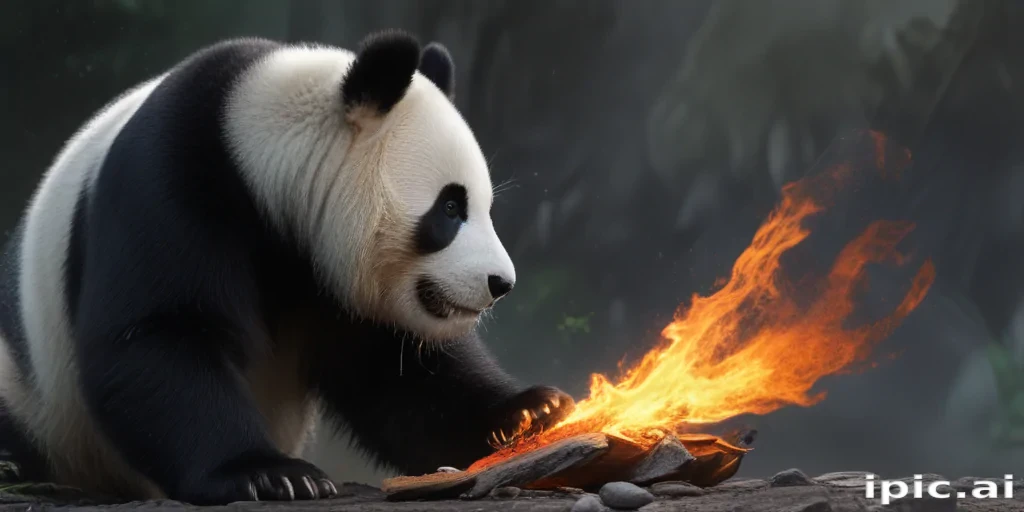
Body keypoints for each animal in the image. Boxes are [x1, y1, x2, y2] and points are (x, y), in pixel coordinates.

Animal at [0, 30, 575, 504]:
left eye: (483, 207)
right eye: (451, 208)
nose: (500, 283)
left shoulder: (332, 283)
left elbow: (401, 375)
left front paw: (530, 412)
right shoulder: (171, 181)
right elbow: (160, 335)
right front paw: (268, 475)